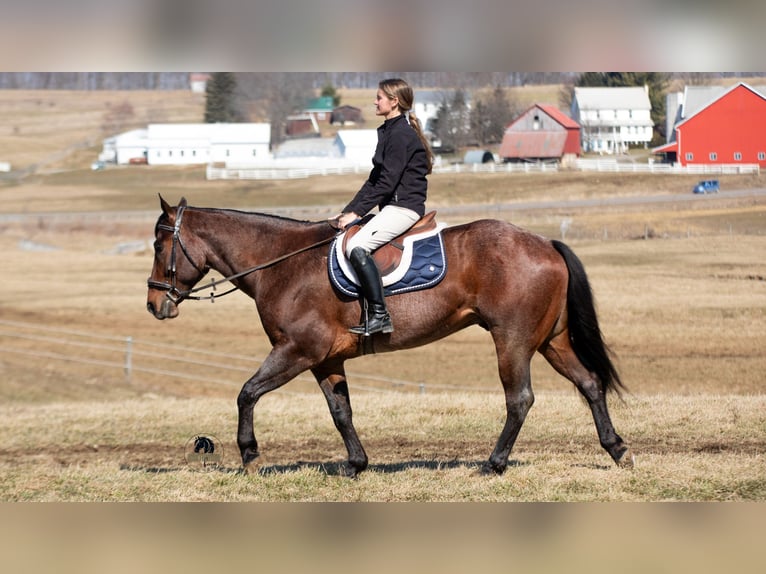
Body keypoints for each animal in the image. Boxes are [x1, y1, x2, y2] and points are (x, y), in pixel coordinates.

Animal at [146, 196, 634, 477]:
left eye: (157, 244)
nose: (154, 305)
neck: (282, 263)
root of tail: (545, 243)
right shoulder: (326, 359)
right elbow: (341, 412)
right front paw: (356, 465)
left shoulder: (297, 350)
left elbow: (247, 393)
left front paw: (249, 455)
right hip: (552, 340)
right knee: (590, 384)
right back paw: (617, 451)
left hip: (511, 340)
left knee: (520, 400)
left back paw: (493, 465)